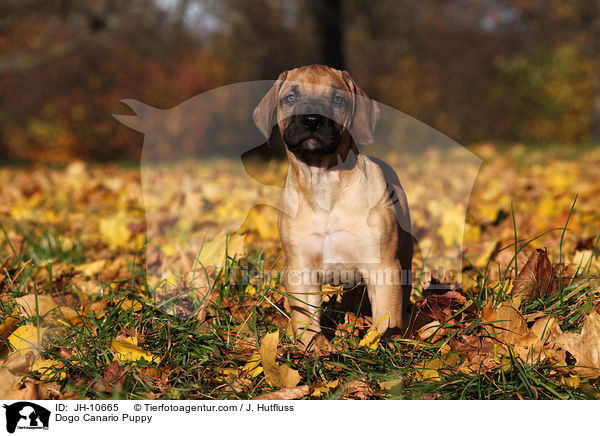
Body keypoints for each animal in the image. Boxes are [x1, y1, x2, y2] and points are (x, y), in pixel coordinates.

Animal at [253, 64, 412, 350]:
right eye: (289, 98)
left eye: (338, 99)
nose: (312, 119)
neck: (324, 181)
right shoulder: (301, 268)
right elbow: (304, 317)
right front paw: (311, 348)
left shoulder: (382, 266)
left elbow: (387, 316)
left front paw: (383, 345)